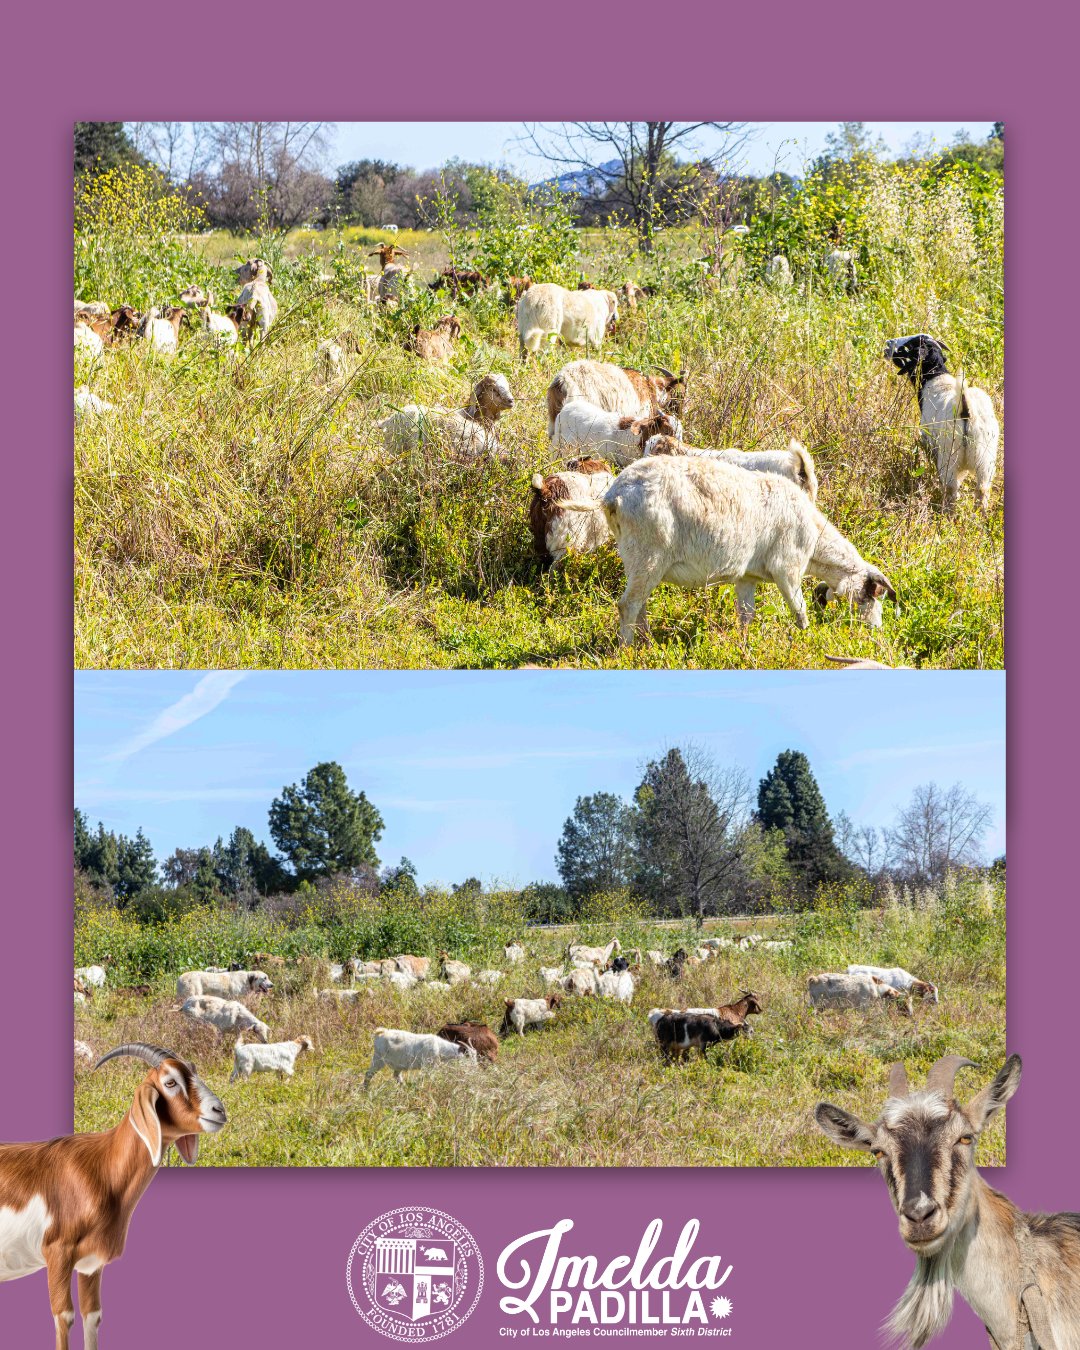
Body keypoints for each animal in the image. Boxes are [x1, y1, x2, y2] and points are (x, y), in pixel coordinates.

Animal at [0, 1043, 225, 1350]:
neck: (101, 1168)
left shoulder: (90, 1264)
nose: (219, 1110)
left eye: (193, 1070)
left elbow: (91, 1317)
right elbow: (63, 1318)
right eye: (170, 1082)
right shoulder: (57, 1254)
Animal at [558, 455, 895, 643]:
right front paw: (806, 639)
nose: (876, 633)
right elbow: (799, 611)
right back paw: (627, 651)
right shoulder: (787, 568)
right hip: (648, 554)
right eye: (872, 596)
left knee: (638, 605)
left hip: (636, 558)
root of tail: (612, 495)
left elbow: (746, 616)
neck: (814, 542)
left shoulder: (747, 577)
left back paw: (646, 644)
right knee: (627, 605)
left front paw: (743, 646)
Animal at [884, 334, 1000, 513]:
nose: (888, 344)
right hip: (986, 457)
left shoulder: (930, 442)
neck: (936, 379)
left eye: (909, 346)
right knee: (982, 490)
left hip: (949, 455)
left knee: (951, 489)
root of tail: (965, 408)